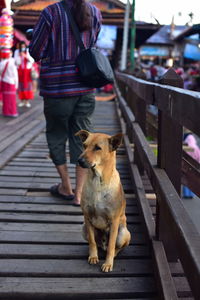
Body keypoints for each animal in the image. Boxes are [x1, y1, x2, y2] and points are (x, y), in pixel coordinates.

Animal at [75, 129, 131, 272]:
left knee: (115, 247)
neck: (98, 182)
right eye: (84, 145)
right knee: (97, 243)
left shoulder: (114, 221)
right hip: (83, 228)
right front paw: (93, 256)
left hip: (124, 233)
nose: (79, 160)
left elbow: (111, 246)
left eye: (97, 148)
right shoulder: (87, 217)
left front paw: (108, 263)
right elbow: (92, 242)